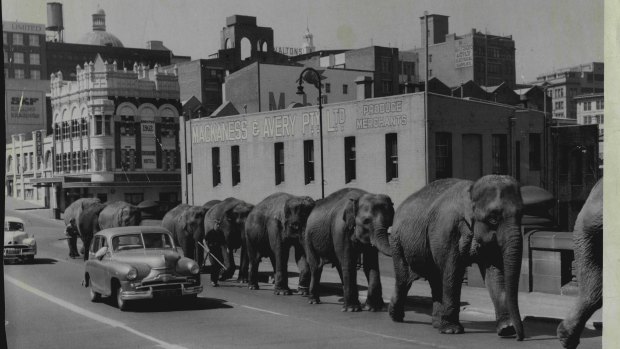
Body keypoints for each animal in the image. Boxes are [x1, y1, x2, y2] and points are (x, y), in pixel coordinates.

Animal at [390, 175, 524, 338]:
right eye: (493, 219)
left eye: (521, 215)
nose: (520, 338)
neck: (471, 190)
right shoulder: (447, 231)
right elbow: (453, 271)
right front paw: (452, 331)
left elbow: (494, 273)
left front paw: (506, 329)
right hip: (398, 243)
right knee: (403, 280)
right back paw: (396, 317)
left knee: (435, 280)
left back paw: (436, 324)